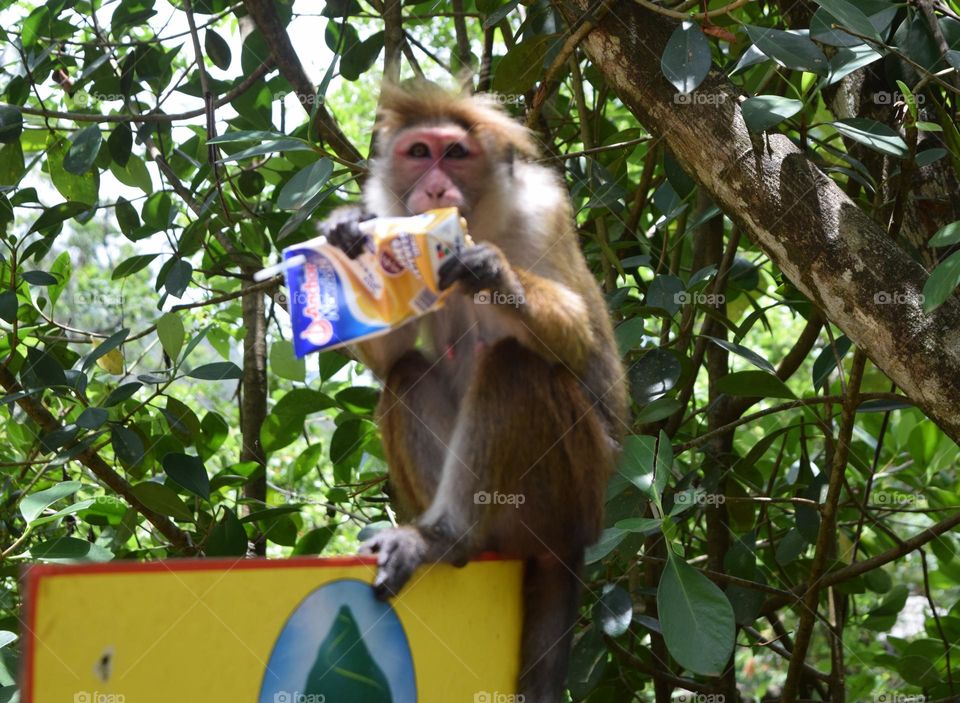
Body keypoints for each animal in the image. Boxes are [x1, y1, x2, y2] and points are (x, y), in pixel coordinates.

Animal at [322, 83, 628, 702]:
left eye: (455, 154)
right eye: (419, 152)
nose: (437, 187)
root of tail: (580, 534)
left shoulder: (542, 214)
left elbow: (581, 340)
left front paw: (492, 271)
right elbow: (391, 353)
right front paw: (347, 233)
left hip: (571, 484)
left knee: (515, 366)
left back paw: (445, 539)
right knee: (408, 372)